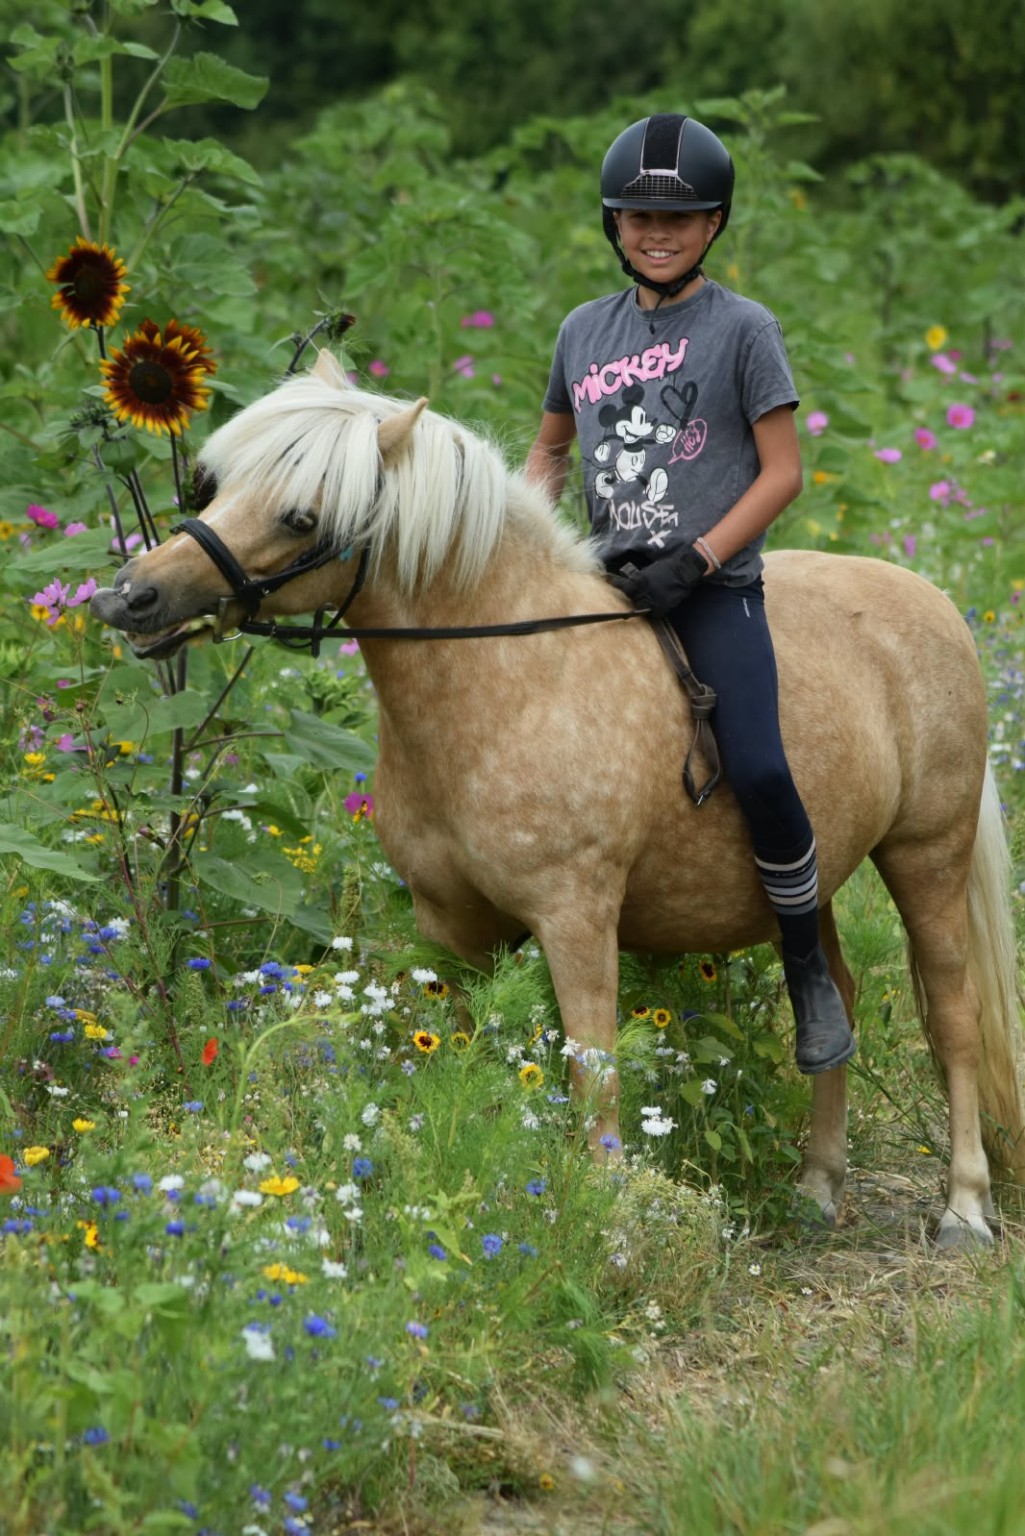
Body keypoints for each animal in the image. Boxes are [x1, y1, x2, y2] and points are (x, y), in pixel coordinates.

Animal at [90, 348, 1025, 1248]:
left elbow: (592, 1071)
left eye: (300, 518)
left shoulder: (575, 918)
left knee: (953, 1016)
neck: (511, 677)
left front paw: (610, 1226)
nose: (129, 598)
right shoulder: (455, 932)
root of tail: (930, 599)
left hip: (925, 854)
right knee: (833, 999)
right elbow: (469, 1056)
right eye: (218, 486)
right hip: (816, 870)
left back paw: (963, 1209)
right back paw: (817, 1189)